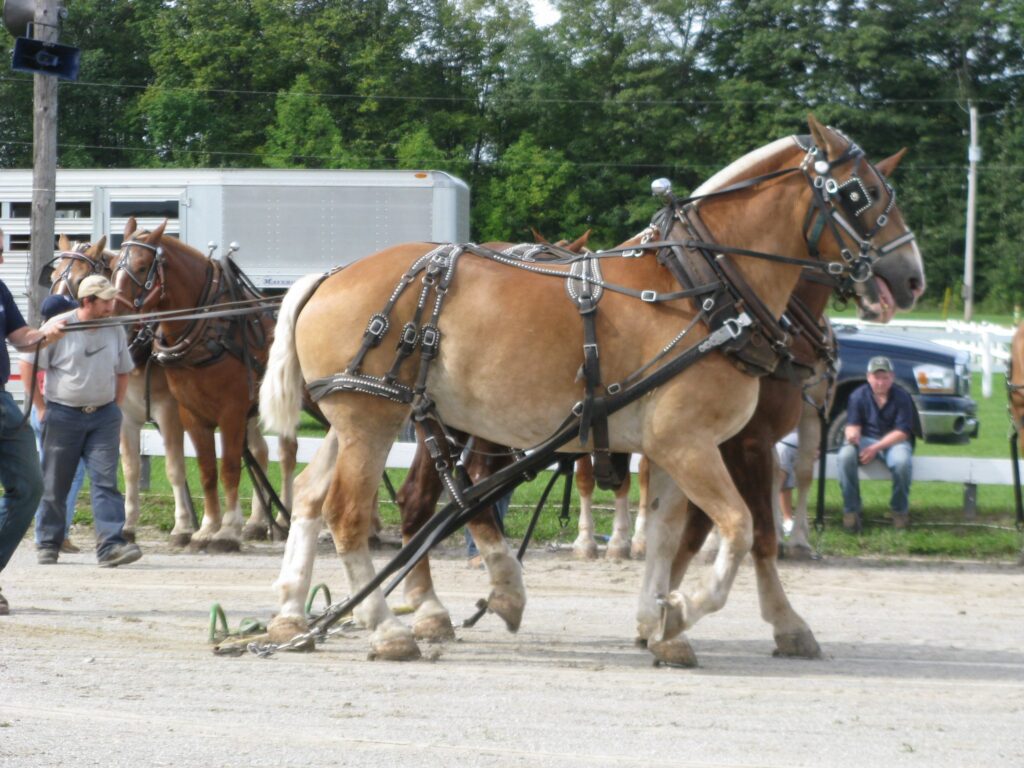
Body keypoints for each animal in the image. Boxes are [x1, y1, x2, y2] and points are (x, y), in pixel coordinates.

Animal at [112, 219, 296, 548]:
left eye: (143, 266)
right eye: (115, 267)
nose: (116, 313)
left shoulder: (227, 412)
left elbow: (227, 468)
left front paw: (225, 530)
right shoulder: (189, 412)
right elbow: (205, 470)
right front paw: (208, 527)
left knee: (293, 455)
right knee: (264, 451)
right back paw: (260, 523)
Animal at [260, 117, 925, 663]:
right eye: (864, 194)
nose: (913, 277)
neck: (702, 289)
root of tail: (330, 275)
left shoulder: (673, 448)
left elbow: (667, 537)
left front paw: (659, 623)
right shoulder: (696, 443)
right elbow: (741, 530)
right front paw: (695, 611)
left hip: (361, 420)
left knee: (311, 494)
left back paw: (294, 613)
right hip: (375, 421)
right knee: (354, 513)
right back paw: (389, 627)